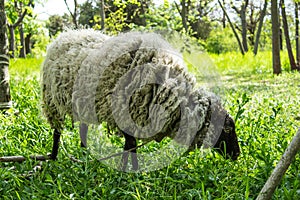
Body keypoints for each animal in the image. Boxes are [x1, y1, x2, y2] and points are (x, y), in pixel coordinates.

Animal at [41, 29, 240, 170]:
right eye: (228, 129)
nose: (238, 155)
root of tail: (64, 36)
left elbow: (129, 146)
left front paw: (127, 168)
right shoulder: (125, 112)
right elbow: (131, 145)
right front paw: (131, 171)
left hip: (83, 103)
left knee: (83, 127)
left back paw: (84, 153)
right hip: (51, 100)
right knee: (57, 131)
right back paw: (53, 156)